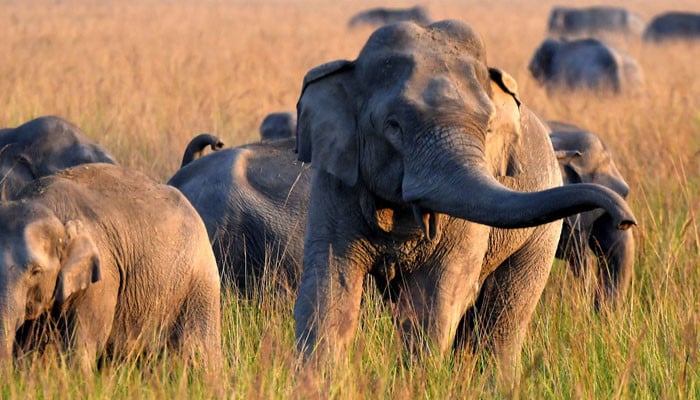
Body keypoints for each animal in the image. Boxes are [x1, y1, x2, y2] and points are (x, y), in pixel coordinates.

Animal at [0, 163, 222, 371]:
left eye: (35, 271)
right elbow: (26, 346)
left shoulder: (104, 274)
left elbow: (86, 339)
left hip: (199, 285)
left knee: (199, 349)